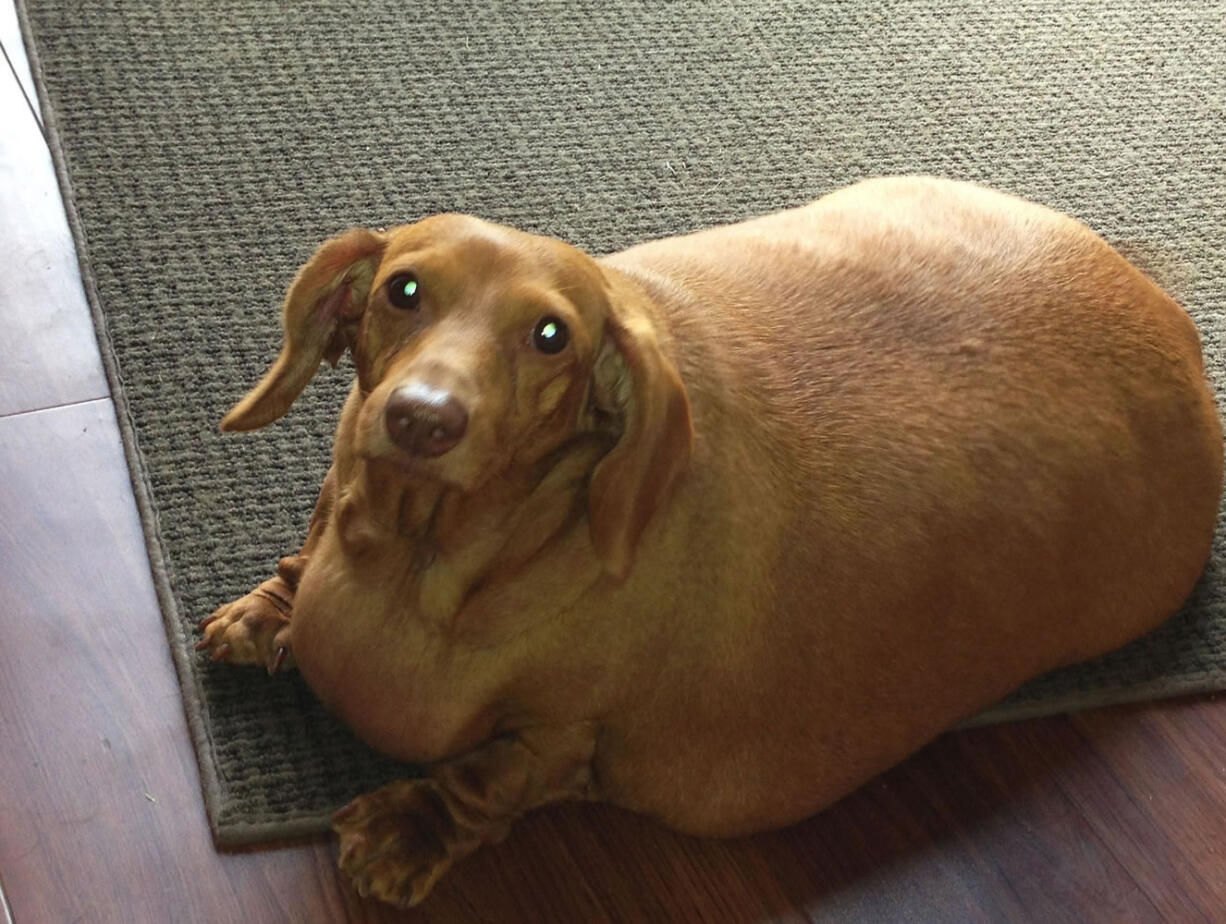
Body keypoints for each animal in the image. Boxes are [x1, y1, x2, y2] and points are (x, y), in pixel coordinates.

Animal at [196, 176, 1221, 901]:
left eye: (551, 336)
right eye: (402, 290)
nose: (420, 420)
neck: (413, 560)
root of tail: (1169, 316)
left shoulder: (569, 734)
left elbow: (494, 779)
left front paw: (410, 827)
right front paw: (269, 608)